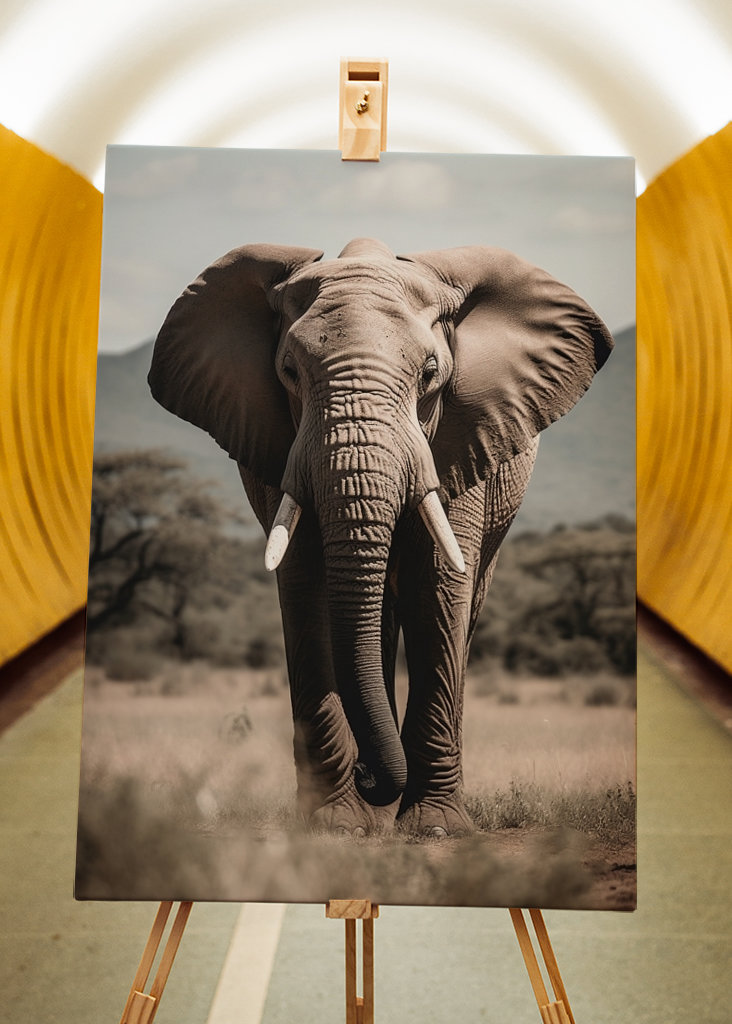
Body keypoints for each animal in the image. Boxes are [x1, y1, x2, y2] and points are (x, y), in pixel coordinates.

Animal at [148, 237, 613, 838]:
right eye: (288, 370)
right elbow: (307, 587)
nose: (370, 775)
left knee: (461, 609)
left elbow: (436, 589)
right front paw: (337, 824)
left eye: (431, 373)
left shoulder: (462, 437)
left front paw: (435, 828)